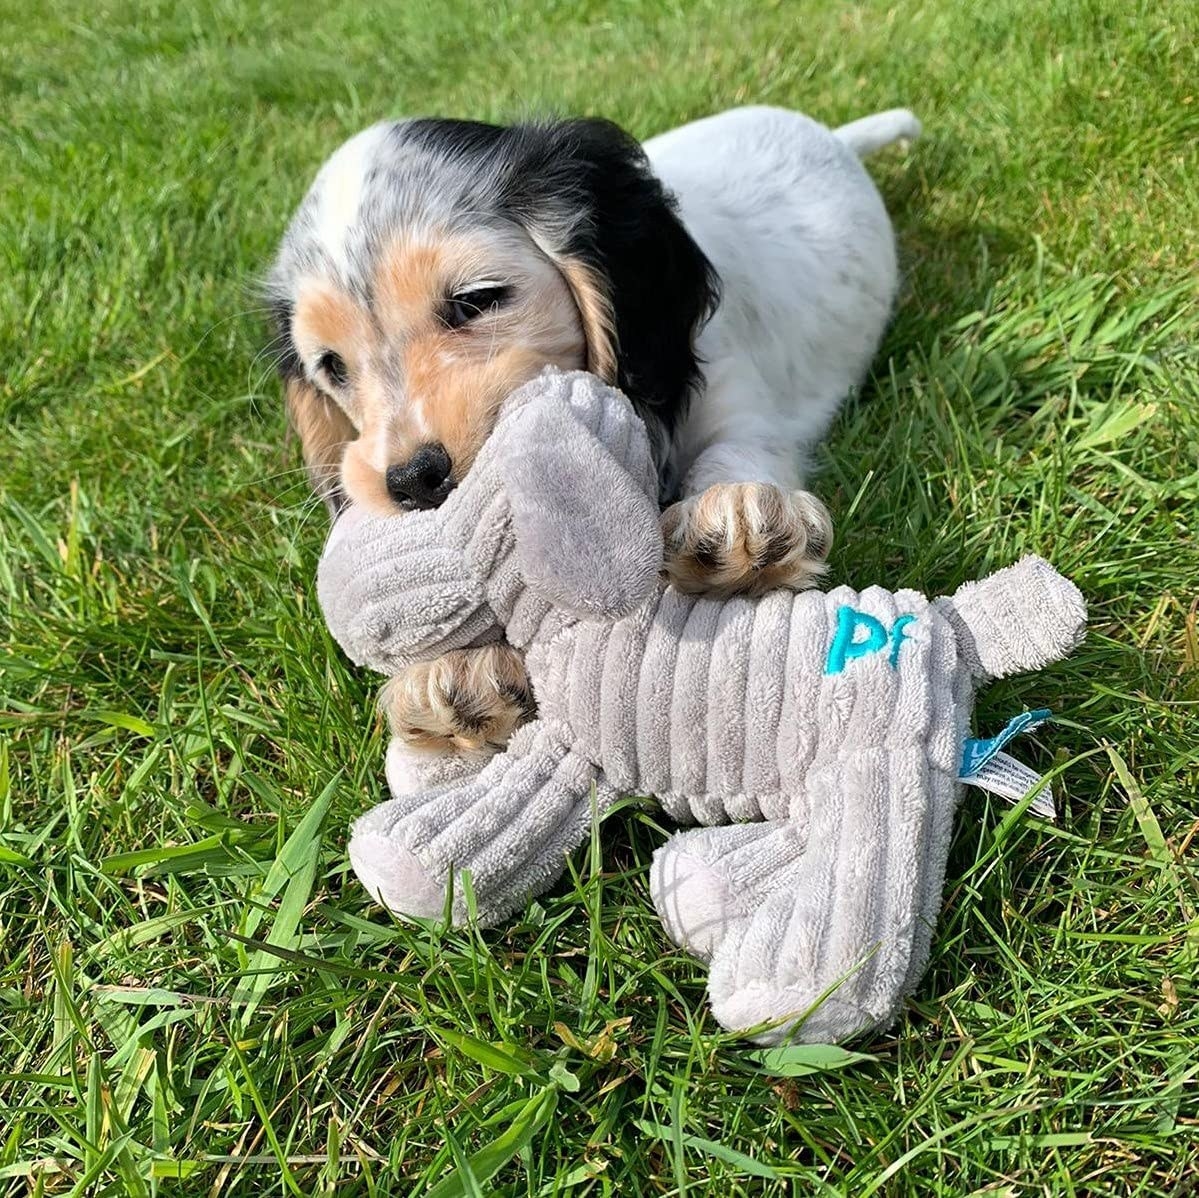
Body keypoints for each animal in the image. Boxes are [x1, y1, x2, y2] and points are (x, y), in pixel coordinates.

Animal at [269, 105, 916, 757]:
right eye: (332, 367)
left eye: (476, 301)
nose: (410, 481)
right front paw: (453, 672)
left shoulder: (734, 391)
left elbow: (739, 448)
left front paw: (736, 514)